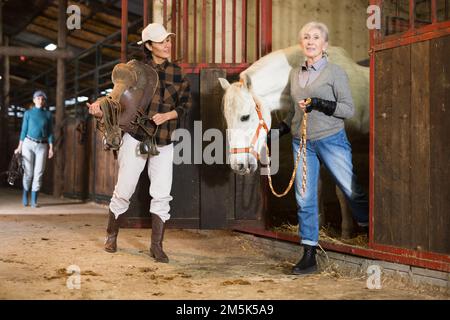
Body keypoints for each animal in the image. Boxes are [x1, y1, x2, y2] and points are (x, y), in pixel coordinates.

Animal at [219, 45, 370, 238]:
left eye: (245, 117)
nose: (237, 165)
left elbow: (342, 188)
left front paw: (346, 232)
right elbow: (316, 185)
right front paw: (318, 224)